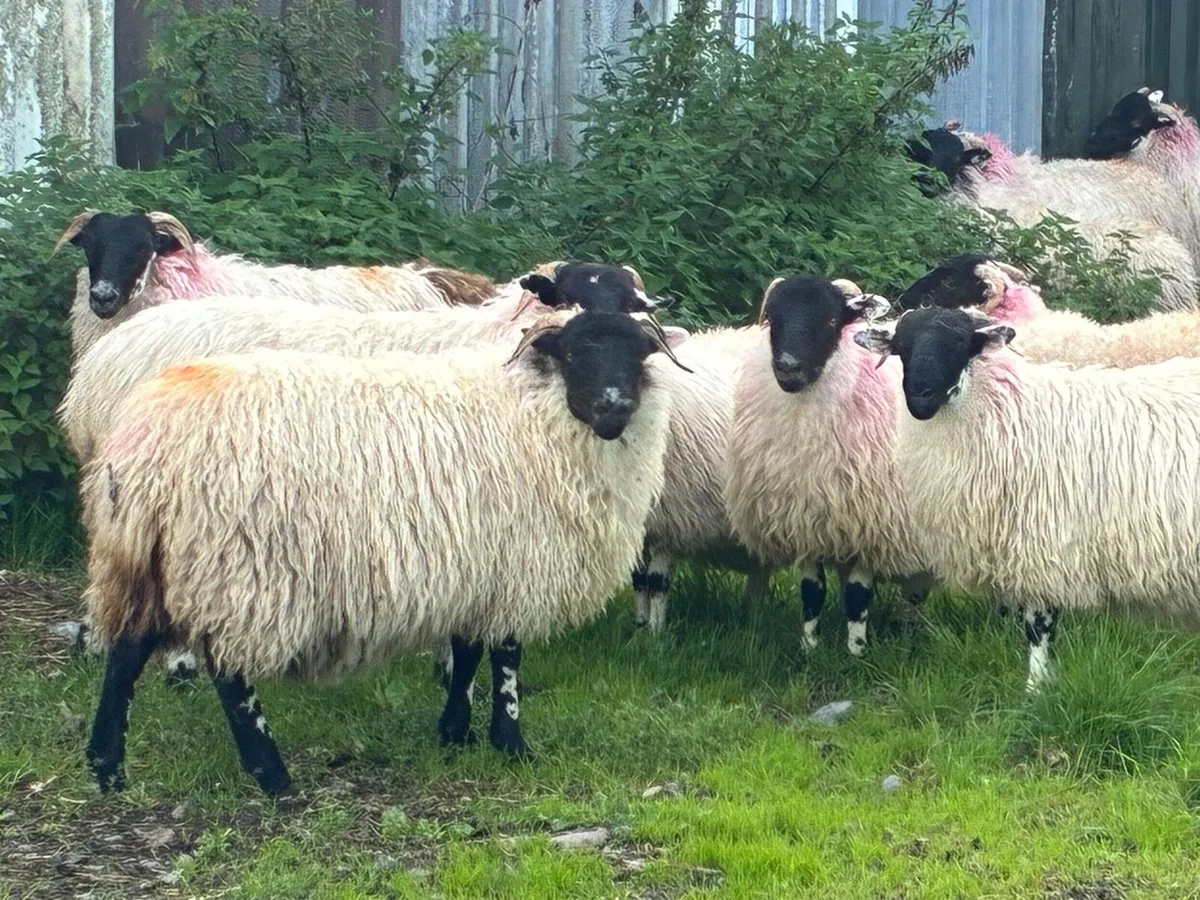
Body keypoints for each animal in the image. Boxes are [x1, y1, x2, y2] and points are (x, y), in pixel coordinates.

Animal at [81, 309, 691, 795]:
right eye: (571, 352)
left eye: (637, 352)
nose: (614, 408)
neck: (535, 412)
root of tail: (145, 446)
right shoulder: (514, 562)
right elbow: (506, 658)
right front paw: (510, 742)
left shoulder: (476, 565)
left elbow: (467, 650)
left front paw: (455, 732)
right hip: (238, 568)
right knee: (228, 674)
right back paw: (272, 776)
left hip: (145, 560)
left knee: (127, 651)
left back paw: (107, 767)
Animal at [724, 276, 931, 656]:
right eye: (773, 320)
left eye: (833, 320)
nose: (787, 366)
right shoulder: (805, 522)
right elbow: (812, 592)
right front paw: (808, 647)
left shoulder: (872, 526)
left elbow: (857, 595)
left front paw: (856, 652)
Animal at [855, 305, 1200, 691]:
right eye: (901, 346)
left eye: (959, 342)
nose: (920, 397)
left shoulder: (1039, 549)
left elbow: (1038, 628)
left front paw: (1035, 689)